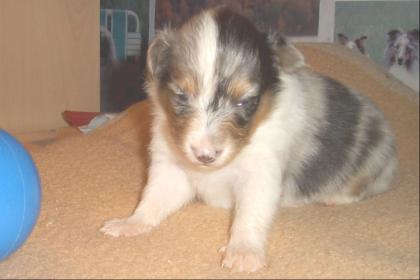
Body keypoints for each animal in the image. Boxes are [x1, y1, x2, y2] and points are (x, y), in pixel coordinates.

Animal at [100, 7, 398, 272]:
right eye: (181, 95)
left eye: (244, 101)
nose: (205, 156)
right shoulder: (172, 165)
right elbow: (153, 198)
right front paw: (130, 223)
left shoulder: (261, 173)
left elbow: (251, 213)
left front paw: (243, 253)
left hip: (374, 166)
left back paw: (335, 197)